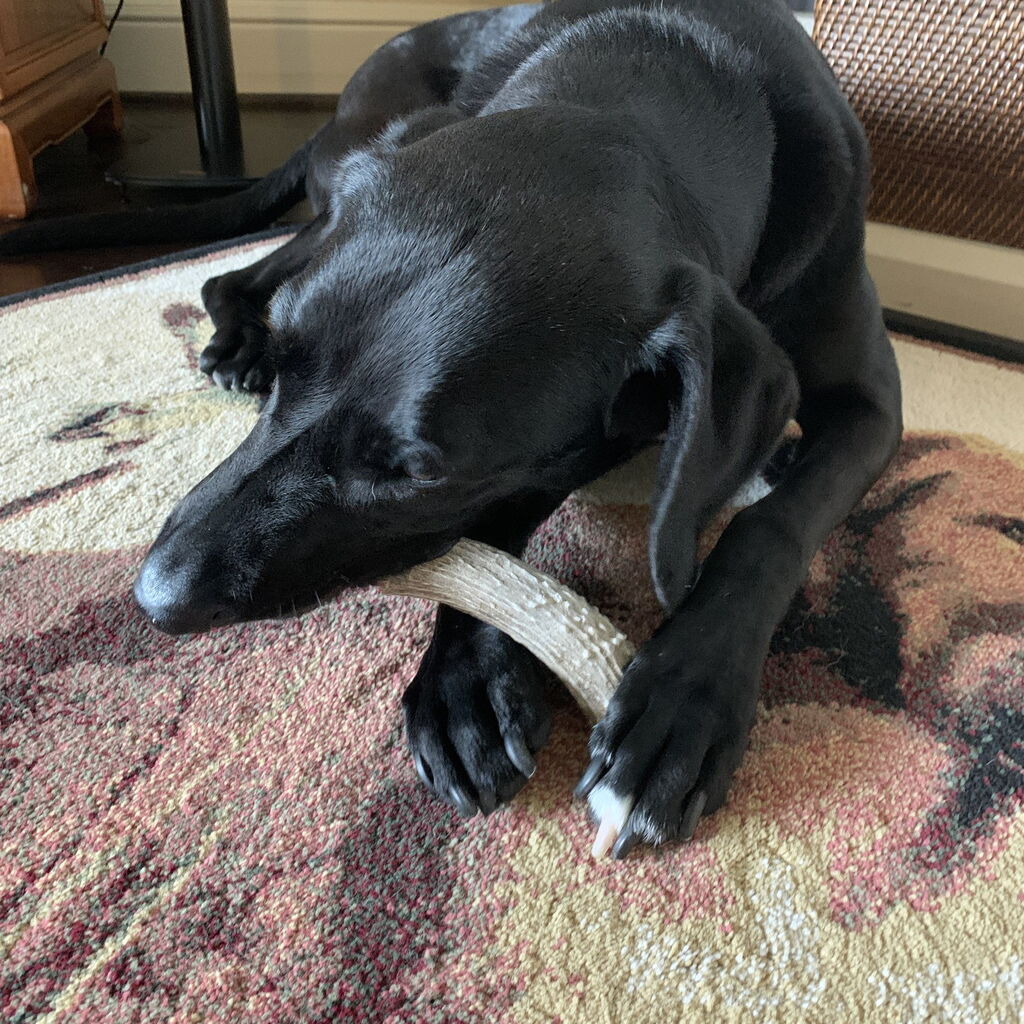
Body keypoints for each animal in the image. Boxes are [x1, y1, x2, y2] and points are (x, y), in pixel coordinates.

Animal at [2, 0, 902, 857]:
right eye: (294, 366)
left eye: (410, 472)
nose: (155, 598)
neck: (682, 61)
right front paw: (463, 682)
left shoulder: (871, 409)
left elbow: (768, 524)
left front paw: (683, 700)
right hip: (338, 190)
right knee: (234, 273)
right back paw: (235, 342)